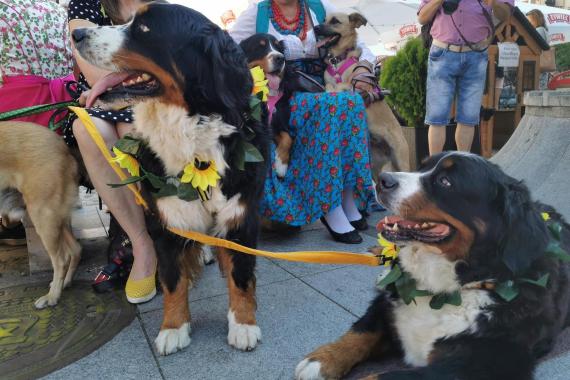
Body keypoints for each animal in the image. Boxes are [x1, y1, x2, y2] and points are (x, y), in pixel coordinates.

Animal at [0, 121, 81, 308]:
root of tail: (63, 147)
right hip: (56, 215)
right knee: (76, 249)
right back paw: (65, 283)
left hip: (42, 215)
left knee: (61, 259)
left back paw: (52, 296)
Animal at [237, 33, 322, 179]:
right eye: (260, 47)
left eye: (278, 47)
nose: (280, 58)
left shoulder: (277, 121)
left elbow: (288, 138)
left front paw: (281, 165)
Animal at [296, 152, 564, 380]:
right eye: (421, 167)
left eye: (445, 181)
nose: (382, 179)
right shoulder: (386, 304)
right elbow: (362, 329)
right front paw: (321, 360)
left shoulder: (482, 363)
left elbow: (382, 377)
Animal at [312, 11, 410, 175]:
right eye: (324, 20)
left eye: (335, 21)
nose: (315, 28)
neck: (337, 60)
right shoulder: (329, 80)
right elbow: (328, 85)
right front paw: (329, 89)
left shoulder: (354, 85)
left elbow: (340, 86)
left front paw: (334, 90)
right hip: (375, 165)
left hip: (401, 160)